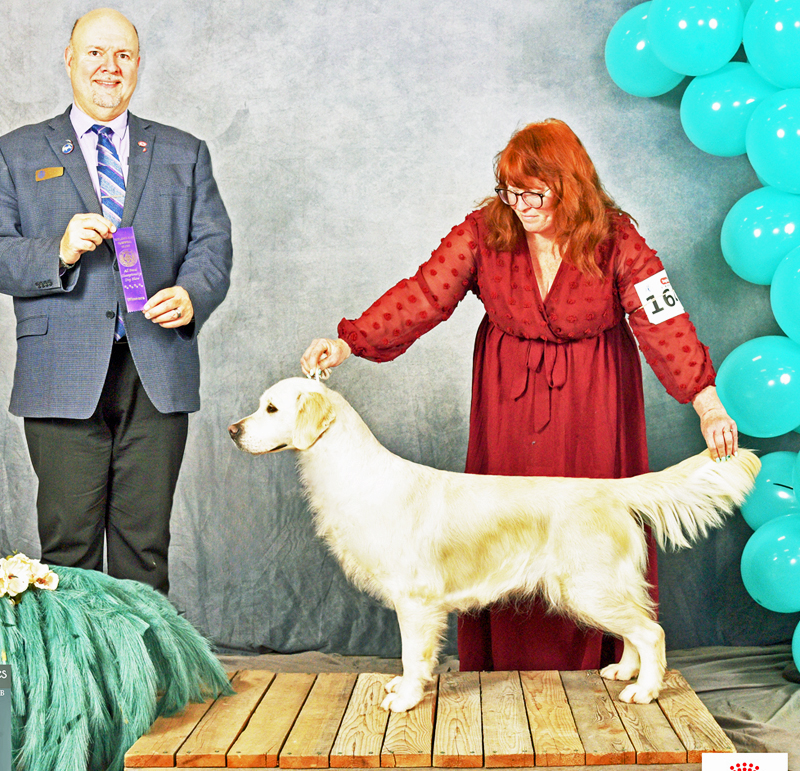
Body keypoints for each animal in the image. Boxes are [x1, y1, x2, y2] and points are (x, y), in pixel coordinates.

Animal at [229, 377, 759, 712]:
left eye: (271, 408)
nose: (233, 430)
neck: (353, 472)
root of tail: (611, 489)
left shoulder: (416, 602)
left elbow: (411, 653)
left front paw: (405, 699)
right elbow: (413, 659)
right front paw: (406, 687)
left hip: (588, 587)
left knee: (651, 632)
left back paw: (644, 692)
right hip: (603, 587)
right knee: (638, 629)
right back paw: (624, 673)